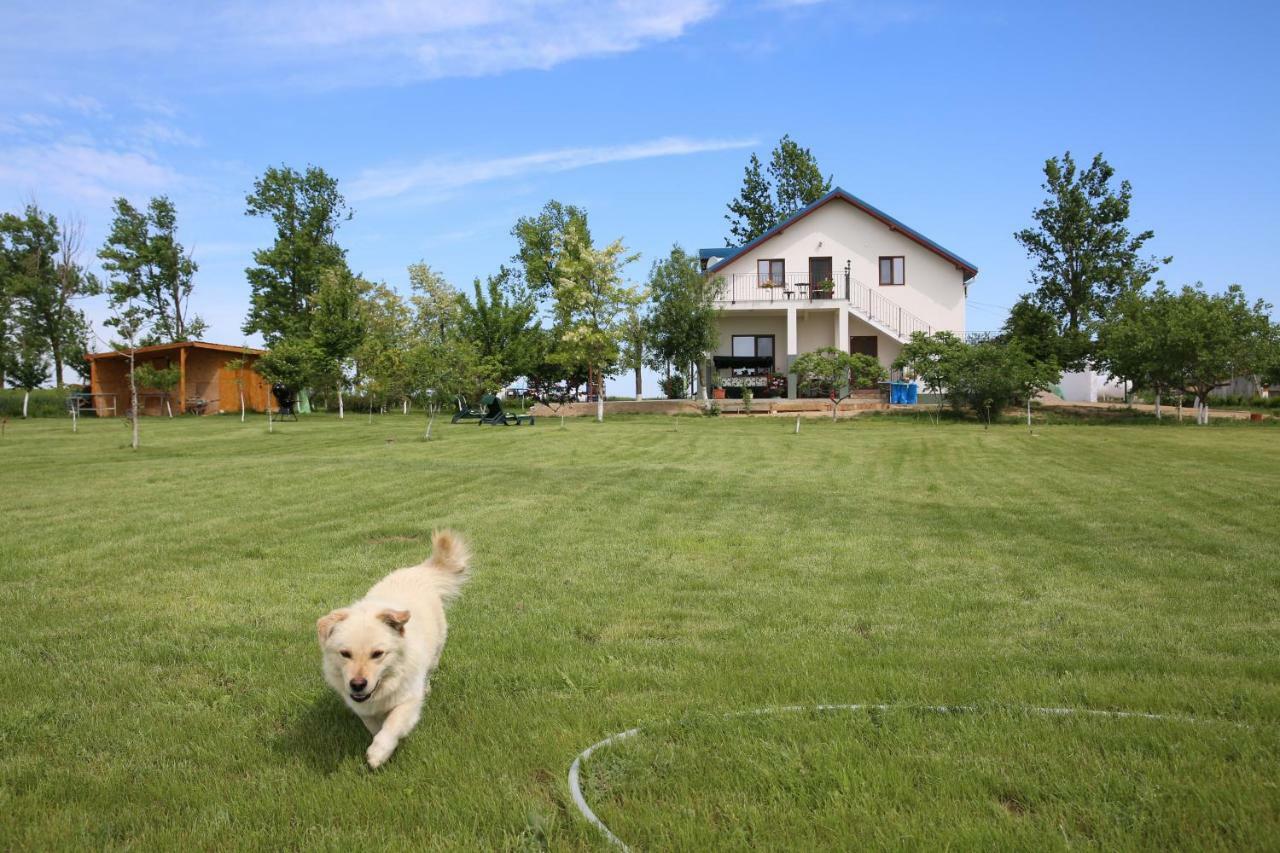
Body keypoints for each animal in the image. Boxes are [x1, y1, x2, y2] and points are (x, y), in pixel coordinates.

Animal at [317, 527, 473, 768]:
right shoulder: (364, 709)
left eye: (377, 654)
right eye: (345, 654)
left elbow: (392, 725)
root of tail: (419, 571)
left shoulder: (408, 701)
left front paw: (379, 752)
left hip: (435, 653)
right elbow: (374, 725)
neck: (385, 683)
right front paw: (379, 743)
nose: (357, 684)